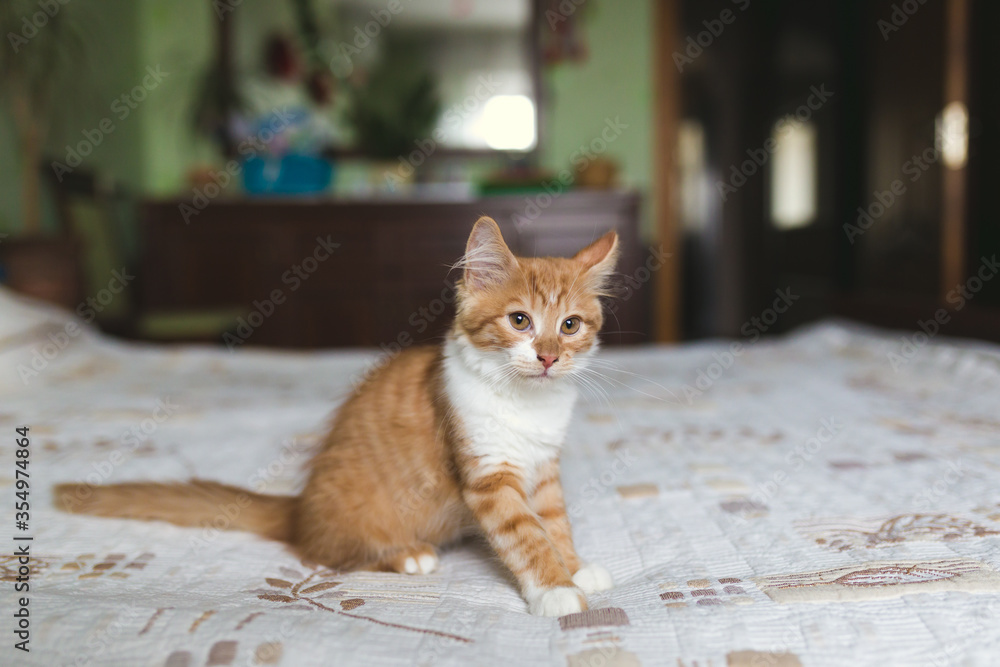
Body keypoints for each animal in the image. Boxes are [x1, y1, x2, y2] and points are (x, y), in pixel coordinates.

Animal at [56, 217, 616, 620]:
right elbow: (526, 534)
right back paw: (407, 554)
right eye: (520, 320)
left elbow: (554, 521)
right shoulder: (488, 476)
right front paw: (556, 591)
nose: (548, 357)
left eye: (570, 326)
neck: (527, 404)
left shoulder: (543, 468)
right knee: (326, 554)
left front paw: (574, 567)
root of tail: (300, 509)